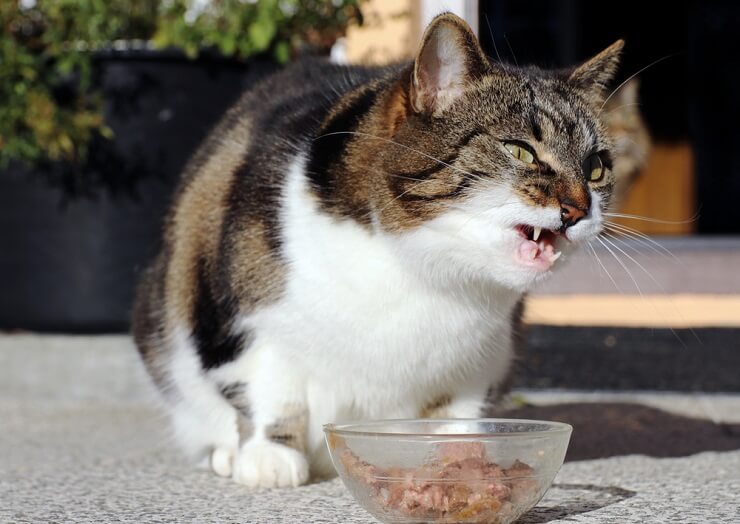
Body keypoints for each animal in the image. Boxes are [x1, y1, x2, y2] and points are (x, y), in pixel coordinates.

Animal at [133, 13, 624, 488]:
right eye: (520, 150)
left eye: (595, 167)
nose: (580, 208)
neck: (420, 271)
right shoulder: (246, 321)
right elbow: (271, 388)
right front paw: (270, 456)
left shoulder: (479, 361)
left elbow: (458, 417)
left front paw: (464, 462)